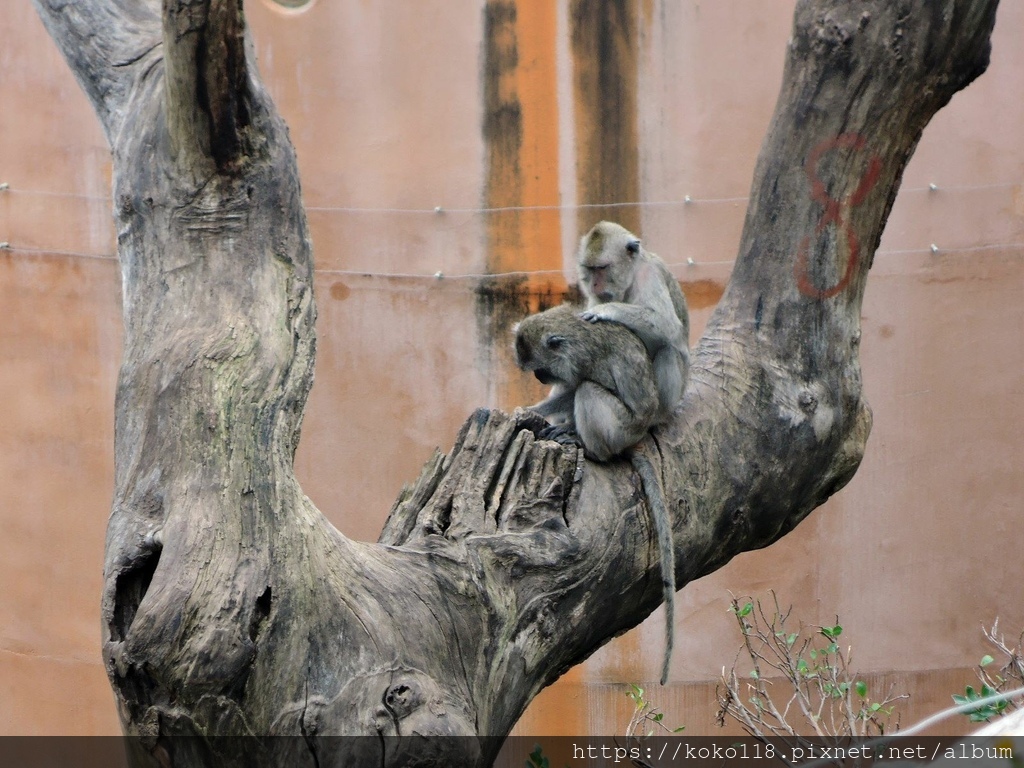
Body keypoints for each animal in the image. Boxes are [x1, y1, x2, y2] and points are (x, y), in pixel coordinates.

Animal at [512, 307, 679, 684]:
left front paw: (539, 412)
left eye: (540, 368)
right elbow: (567, 389)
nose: (540, 378)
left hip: (619, 429)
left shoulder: (582, 360)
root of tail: (637, 437)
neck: (569, 334)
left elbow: (577, 386)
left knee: (588, 391)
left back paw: (589, 448)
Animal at [577, 219, 688, 423]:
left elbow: (667, 323)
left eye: (602, 268)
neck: (632, 274)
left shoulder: (649, 275)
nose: (594, 285)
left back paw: (657, 417)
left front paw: (606, 310)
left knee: (668, 350)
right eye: (590, 269)